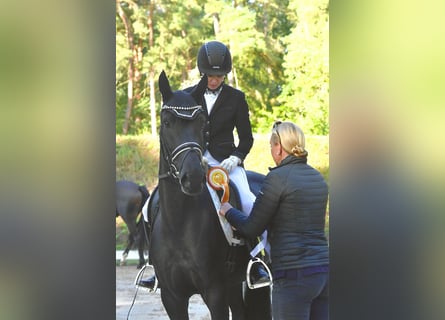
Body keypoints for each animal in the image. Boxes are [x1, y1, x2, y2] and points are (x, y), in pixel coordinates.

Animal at [147, 72, 268, 320]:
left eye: (201, 123)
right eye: (167, 122)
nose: (193, 177)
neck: (179, 223)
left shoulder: (214, 292)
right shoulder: (172, 297)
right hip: (233, 284)